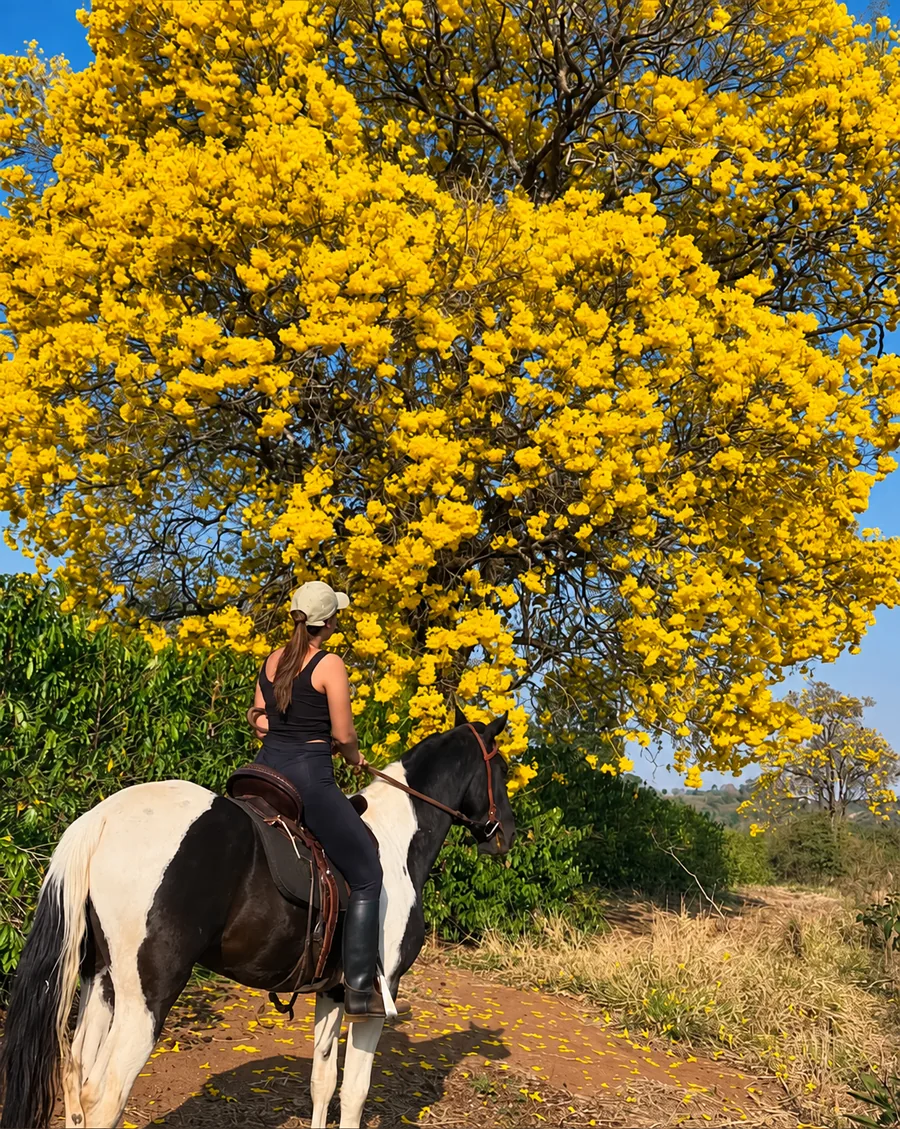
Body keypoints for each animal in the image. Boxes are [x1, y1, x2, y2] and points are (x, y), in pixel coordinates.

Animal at [0, 708, 513, 1129]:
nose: (505, 835)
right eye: (503, 769)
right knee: (104, 1098)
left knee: (76, 1080)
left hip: (102, 984)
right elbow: (354, 1094)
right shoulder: (374, 1000)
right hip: (146, 999)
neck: (395, 839)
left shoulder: (332, 992)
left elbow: (322, 1083)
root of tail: (103, 817)